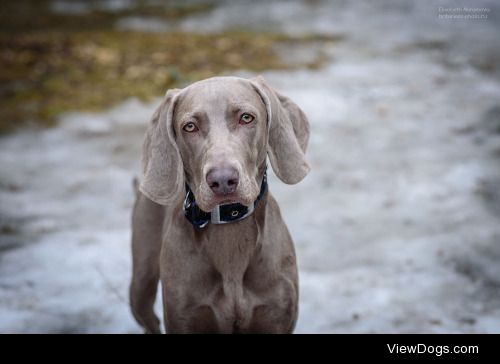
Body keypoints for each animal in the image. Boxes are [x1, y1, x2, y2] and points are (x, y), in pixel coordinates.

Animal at [130, 75, 308, 334]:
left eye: (246, 117)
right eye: (189, 126)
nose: (223, 180)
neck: (229, 225)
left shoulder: (275, 314)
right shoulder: (185, 316)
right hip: (141, 281)